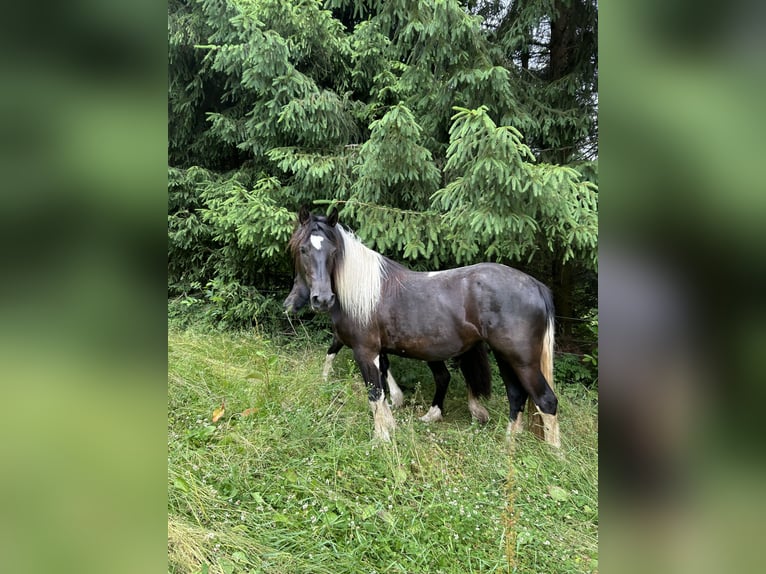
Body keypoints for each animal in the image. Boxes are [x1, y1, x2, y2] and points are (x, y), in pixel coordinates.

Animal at [284, 206, 560, 446]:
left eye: (333, 251)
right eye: (303, 249)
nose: (322, 299)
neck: (363, 290)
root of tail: (535, 286)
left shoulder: (365, 351)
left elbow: (375, 394)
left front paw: (381, 439)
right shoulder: (377, 351)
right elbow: (382, 390)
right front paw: (390, 425)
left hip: (522, 361)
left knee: (546, 401)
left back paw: (552, 455)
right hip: (505, 358)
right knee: (517, 396)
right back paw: (508, 444)